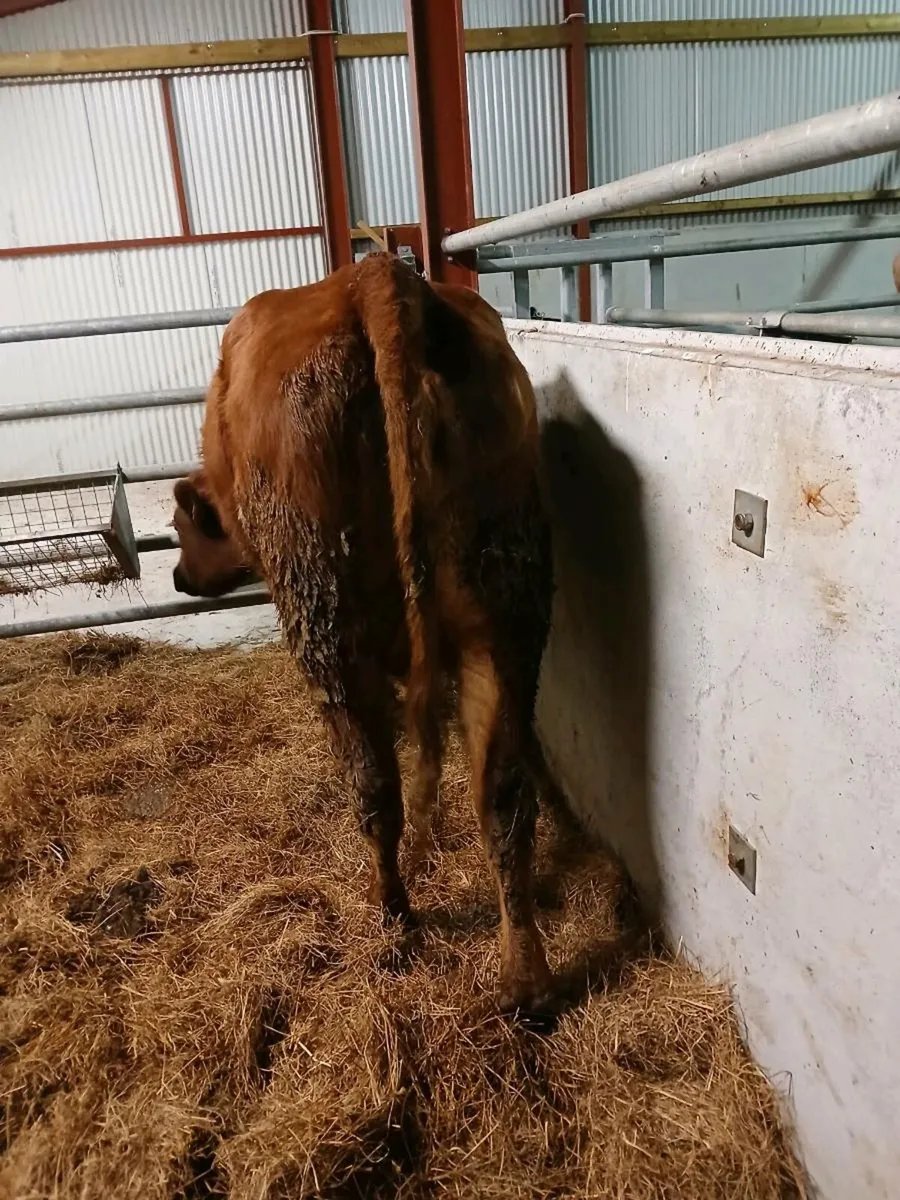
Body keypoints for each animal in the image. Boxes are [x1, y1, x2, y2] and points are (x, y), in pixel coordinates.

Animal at [171, 253, 556, 1016]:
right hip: (505, 617)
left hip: (328, 624)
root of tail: (376, 276)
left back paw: (393, 916)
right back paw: (522, 982)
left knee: (377, 789)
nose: (175, 577)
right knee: (502, 796)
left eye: (180, 529)